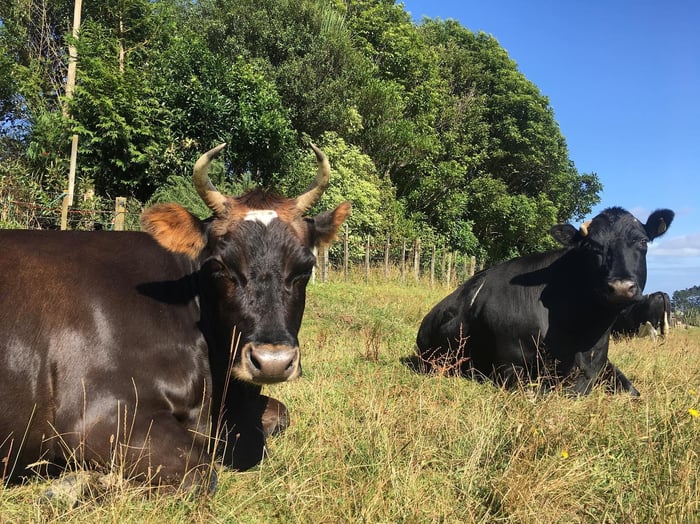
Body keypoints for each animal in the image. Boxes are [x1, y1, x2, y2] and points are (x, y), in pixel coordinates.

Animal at [0, 142, 350, 492]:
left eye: (306, 268)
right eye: (219, 265)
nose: (273, 362)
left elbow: (280, 413)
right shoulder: (97, 415)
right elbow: (201, 473)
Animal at [416, 207, 672, 396]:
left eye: (643, 241)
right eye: (592, 246)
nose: (620, 287)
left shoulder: (602, 363)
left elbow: (632, 392)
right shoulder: (509, 365)